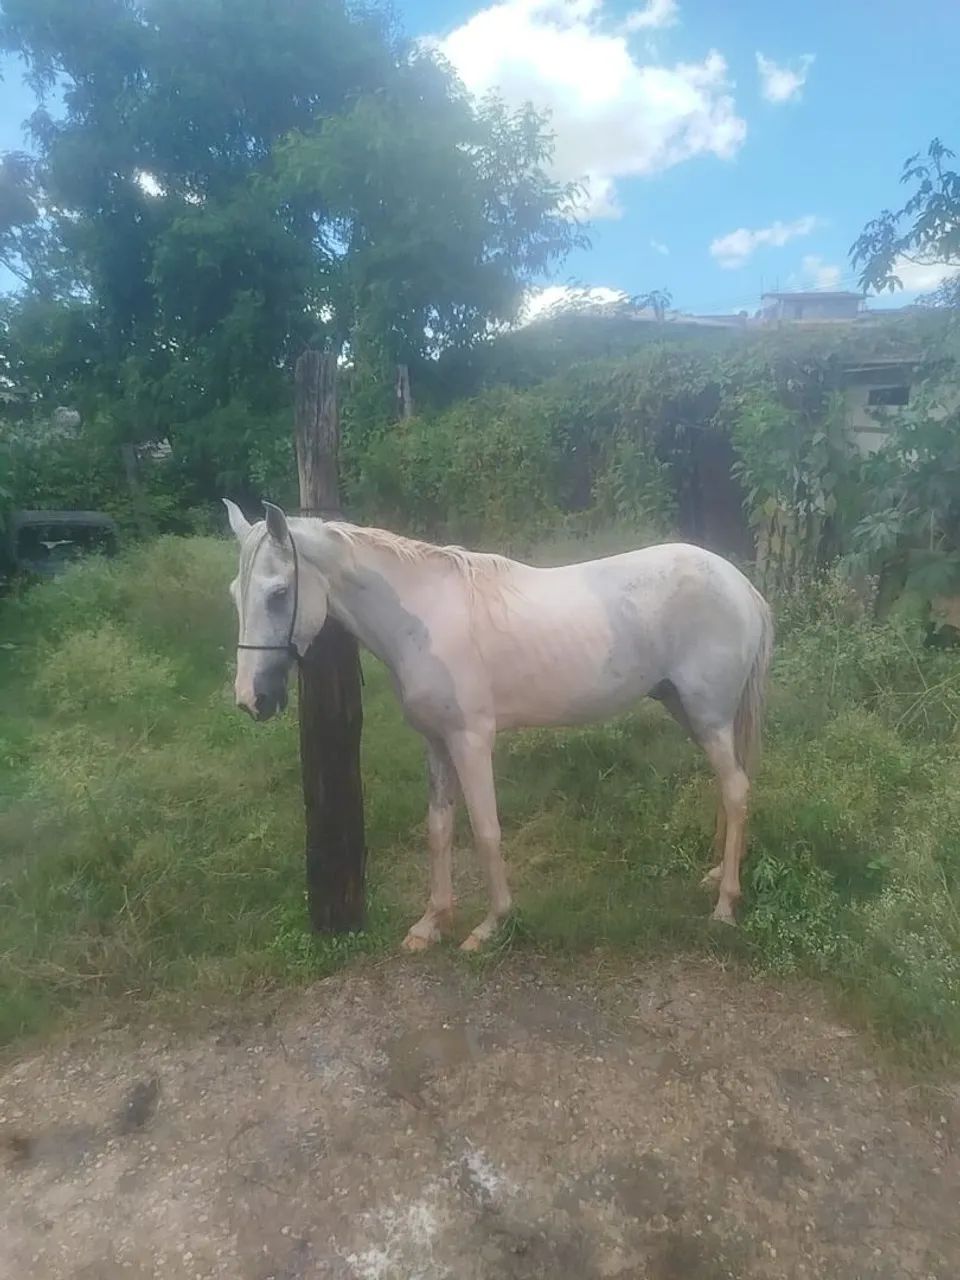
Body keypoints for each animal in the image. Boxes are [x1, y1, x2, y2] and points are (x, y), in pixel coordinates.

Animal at [224, 499, 773, 952]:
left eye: (278, 592)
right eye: (236, 594)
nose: (252, 700)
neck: (424, 618)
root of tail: (740, 584)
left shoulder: (470, 741)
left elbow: (486, 829)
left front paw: (491, 925)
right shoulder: (435, 743)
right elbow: (439, 828)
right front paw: (432, 923)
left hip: (708, 716)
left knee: (737, 790)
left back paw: (725, 905)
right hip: (691, 712)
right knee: (729, 788)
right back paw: (716, 875)